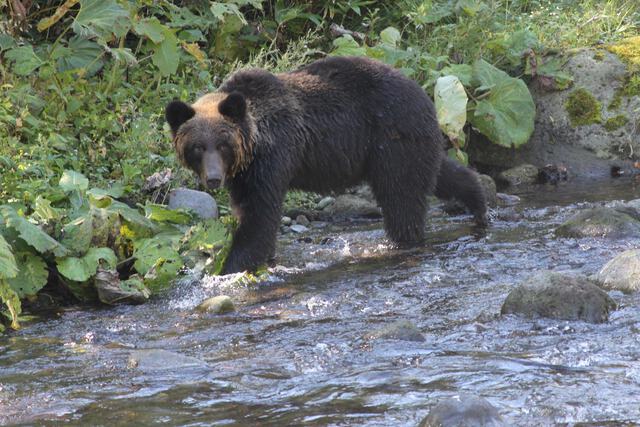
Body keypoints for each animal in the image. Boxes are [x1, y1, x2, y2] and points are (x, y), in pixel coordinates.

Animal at [165, 56, 484, 274]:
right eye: (197, 147)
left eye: (223, 144)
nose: (213, 178)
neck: (256, 141)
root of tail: (423, 92)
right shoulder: (244, 174)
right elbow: (248, 211)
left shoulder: (273, 159)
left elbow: (258, 217)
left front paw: (229, 267)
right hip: (406, 144)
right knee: (436, 174)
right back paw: (478, 203)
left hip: (391, 138)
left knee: (401, 198)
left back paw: (403, 242)